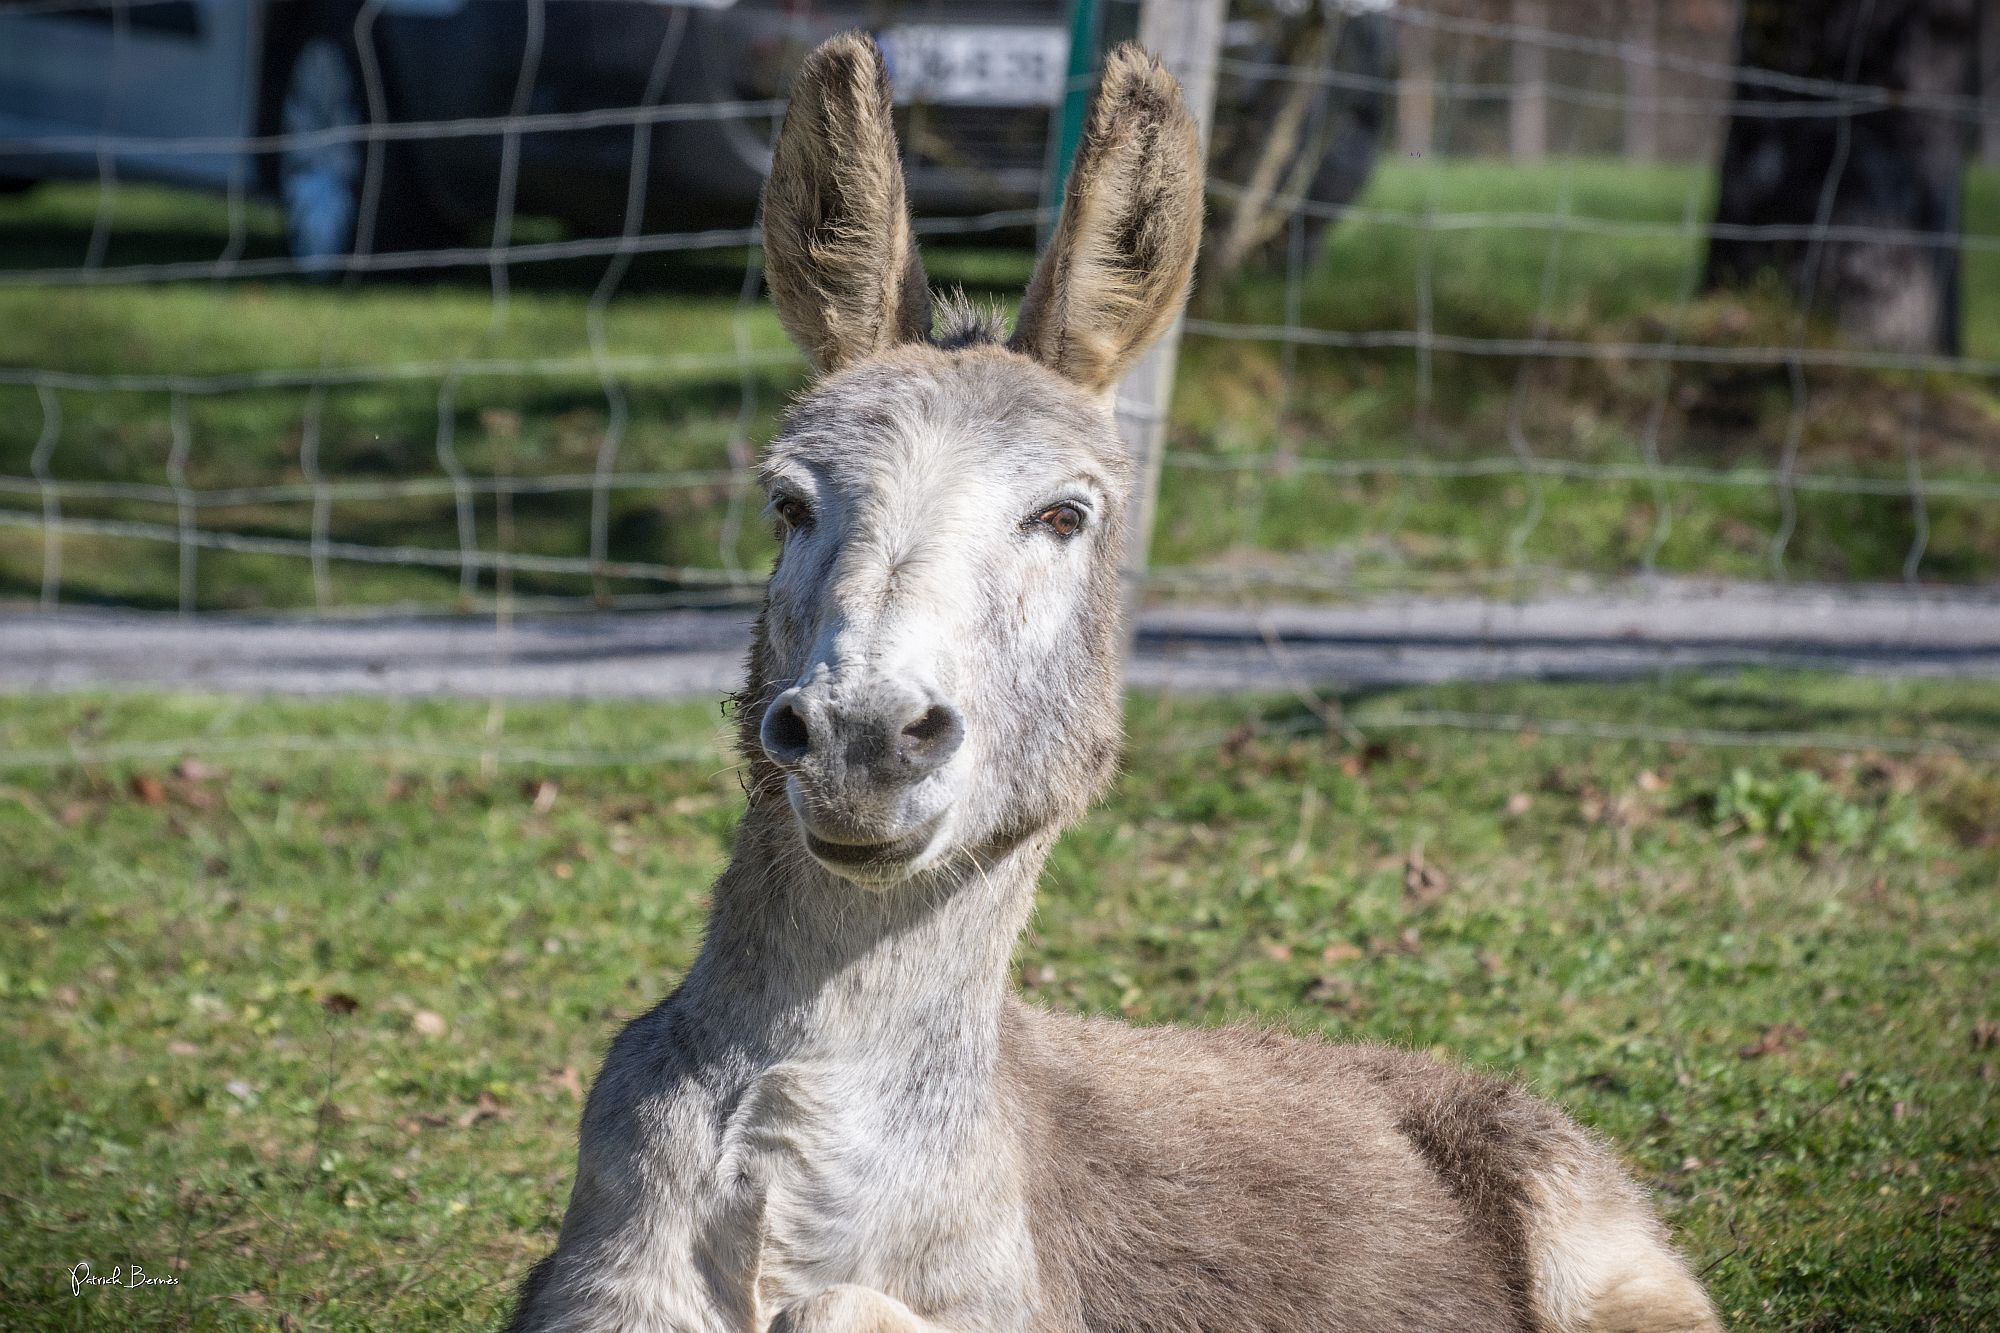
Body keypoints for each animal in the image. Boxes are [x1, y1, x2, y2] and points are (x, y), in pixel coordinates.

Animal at [507, 33, 1722, 1333]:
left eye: (1061, 515)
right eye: (788, 504)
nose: (859, 737)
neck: (803, 1143)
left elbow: (832, 1308)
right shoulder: (596, 1288)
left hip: (1611, 1259)